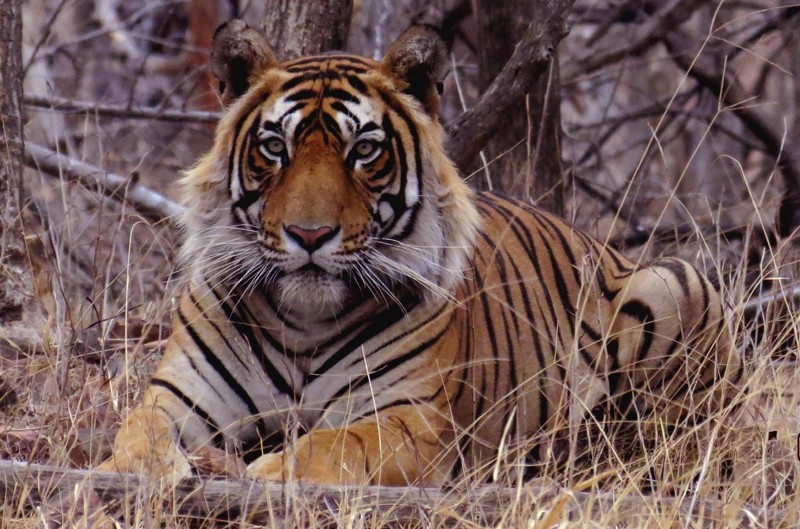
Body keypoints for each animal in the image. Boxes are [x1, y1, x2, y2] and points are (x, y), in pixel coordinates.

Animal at [99, 20, 742, 486]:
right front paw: (142, 470)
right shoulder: (180, 399)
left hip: (675, 281)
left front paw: (265, 470)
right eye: (275, 147)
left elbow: (330, 444)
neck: (303, 321)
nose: (310, 235)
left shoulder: (413, 419)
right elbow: (137, 433)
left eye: (364, 150)